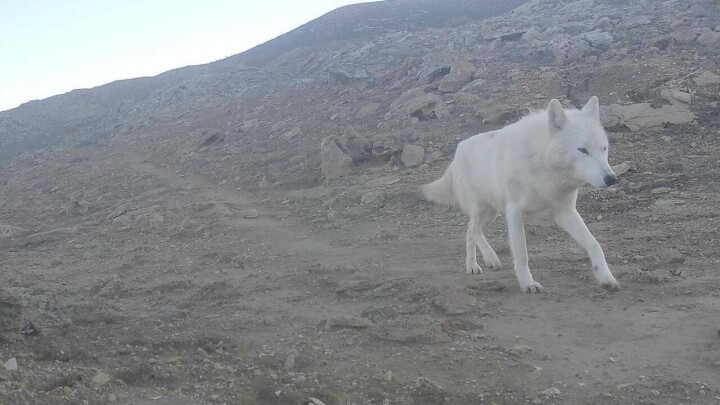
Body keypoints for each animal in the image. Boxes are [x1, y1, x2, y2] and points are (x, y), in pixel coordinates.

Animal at [422, 96, 620, 292]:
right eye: (582, 150)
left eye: (604, 148)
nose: (611, 179)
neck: (543, 164)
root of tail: (458, 149)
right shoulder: (514, 211)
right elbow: (522, 253)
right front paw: (528, 284)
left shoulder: (565, 212)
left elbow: (595, 244)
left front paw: (606, 277)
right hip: (481, 209)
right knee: (472, 230)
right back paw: (481, 262)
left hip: (491, 213)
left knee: (471, 232)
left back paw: (482, 263)